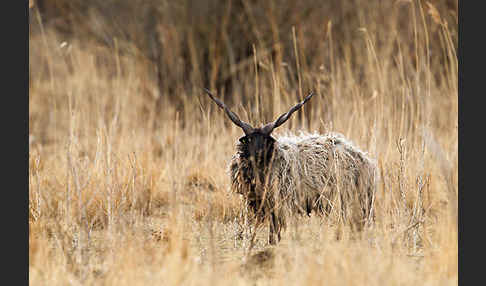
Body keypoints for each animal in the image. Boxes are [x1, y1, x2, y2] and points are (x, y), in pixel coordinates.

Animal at [203, 89, 378, 244]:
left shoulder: (280, 205)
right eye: (250, 140)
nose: (258, 154)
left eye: (266, 140)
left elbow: (275, 231)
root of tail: (364, 158)